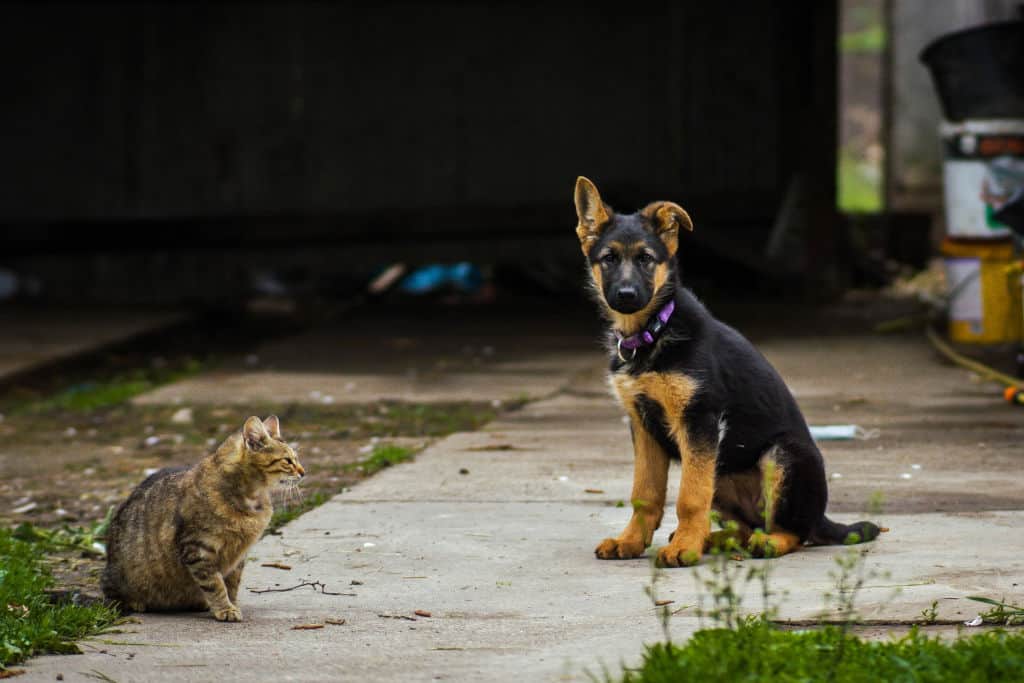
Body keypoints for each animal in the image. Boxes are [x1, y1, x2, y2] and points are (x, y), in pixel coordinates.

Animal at [102, 413, 303, 622]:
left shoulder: (238, 555)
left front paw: (231, 604)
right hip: (120, 576)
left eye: (296, 459)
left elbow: (232, 584)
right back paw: (136, 602)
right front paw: (226, 609)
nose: (303, 472)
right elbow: (215, 585)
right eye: (288, 461)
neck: (251, 498)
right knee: (111, 595)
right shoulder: (198, 548)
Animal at [577, 176, 880, 565]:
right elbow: (645, 493)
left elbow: (690, 497)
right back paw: (716, 540)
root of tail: (821, 517)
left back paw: (761, 543)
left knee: (793, 532)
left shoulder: (700, 420)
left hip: (782, 455)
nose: (627, 295)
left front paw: (684, 549)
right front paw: (630, 541)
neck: (652, 331)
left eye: (646, 259)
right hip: (721, 468)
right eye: (608, 259)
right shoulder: (642, 425)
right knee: (747, 527)